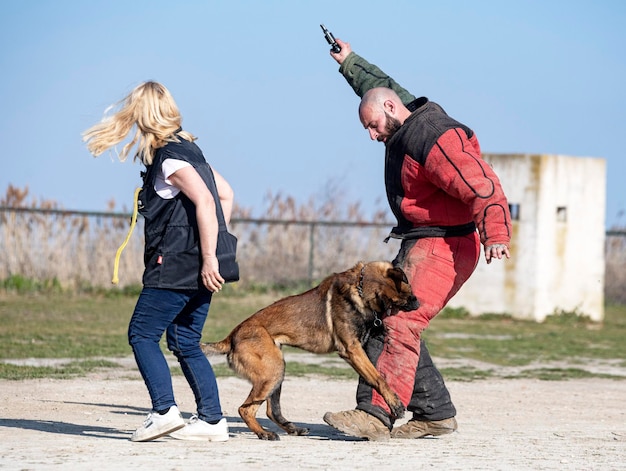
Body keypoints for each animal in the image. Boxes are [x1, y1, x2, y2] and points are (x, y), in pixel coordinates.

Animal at [200, 264, 416, 440]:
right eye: (401, 298)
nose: (418, 303)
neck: (360, 286)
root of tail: (231, 337)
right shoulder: (352, 350)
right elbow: (378, 378)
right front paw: (395, 403)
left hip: (276, 372)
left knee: (271, 410)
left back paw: (291, 429)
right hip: (272, 372)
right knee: (245, 409)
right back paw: (264, 433)